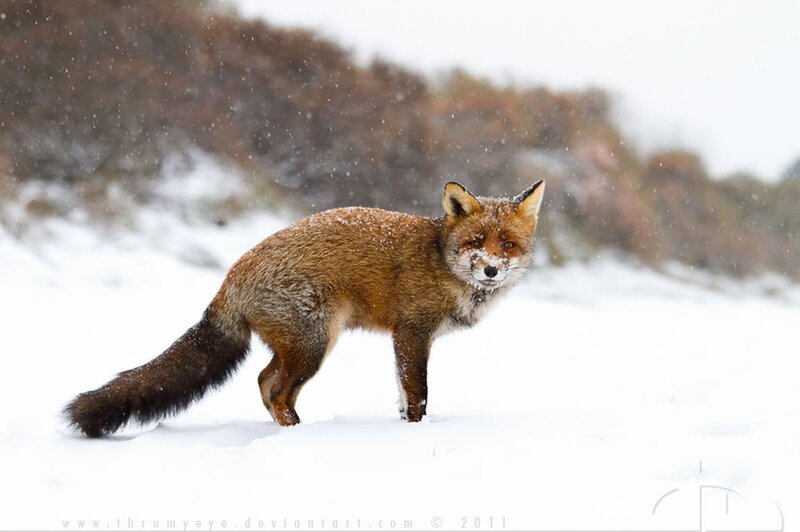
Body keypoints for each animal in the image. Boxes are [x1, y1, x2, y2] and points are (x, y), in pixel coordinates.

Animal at [64, 180, 545, 437]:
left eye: (507, 245)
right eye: (476, 242)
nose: (490, 270)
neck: (442, 260)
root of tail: (231, 277)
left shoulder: (407, 339)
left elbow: (403, 394)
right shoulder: (411, 332)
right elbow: (417, 395)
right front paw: (414, 432)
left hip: (301, 346)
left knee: (264, 383)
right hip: (314, 345)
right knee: (276, 390)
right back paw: (299, 435)